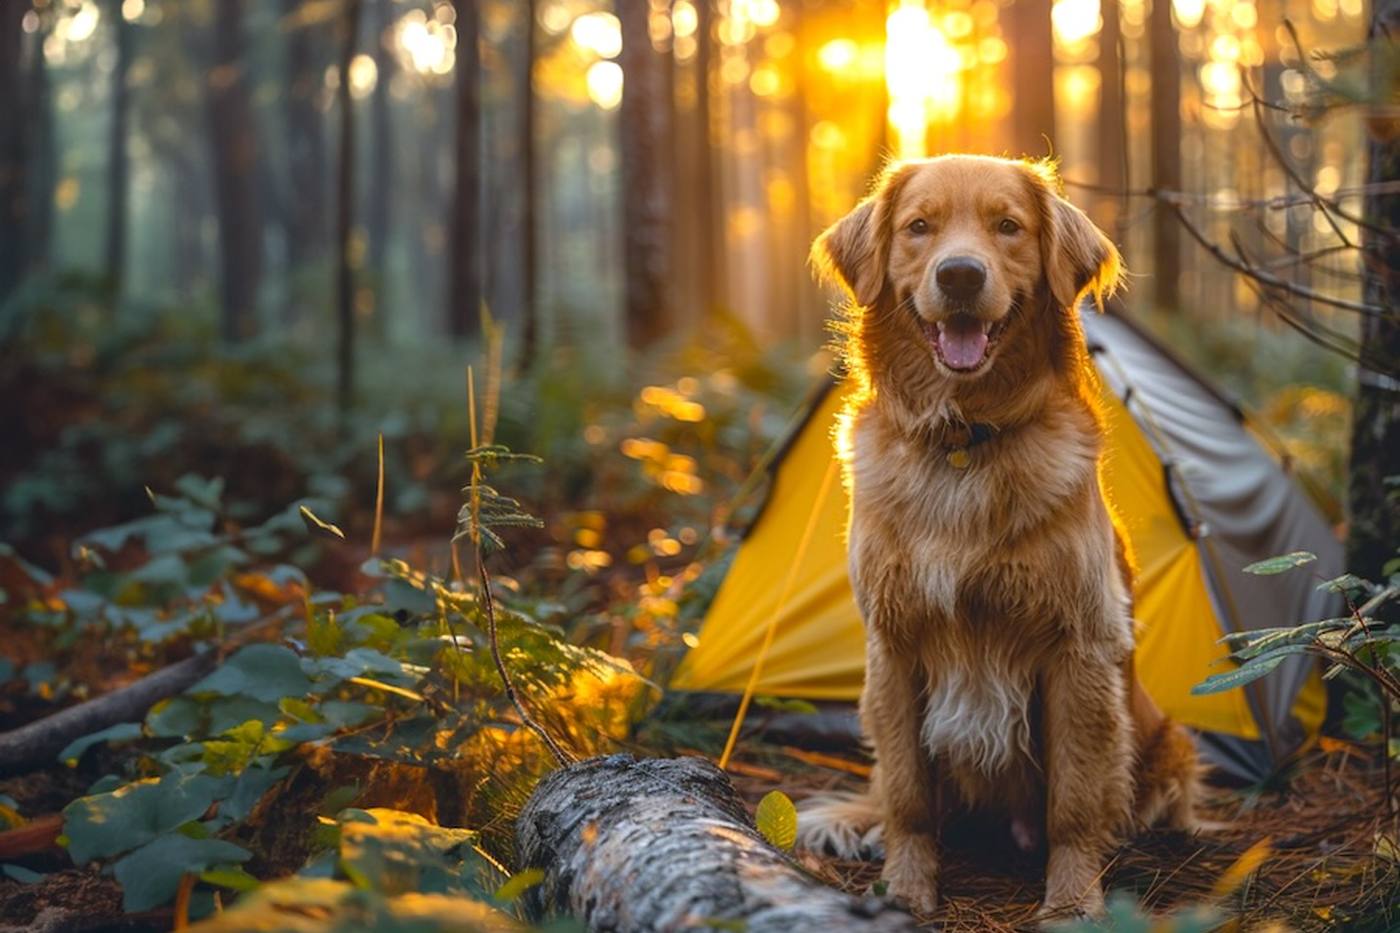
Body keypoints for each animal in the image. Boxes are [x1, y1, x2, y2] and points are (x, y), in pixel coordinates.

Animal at [795, 156, 1198, 918]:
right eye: (919, 226)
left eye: (1007, 226)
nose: (959, 275)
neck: (964, 438)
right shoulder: (892, 646)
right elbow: (907, 796)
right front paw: (905, 889)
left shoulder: (1078, 648)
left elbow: (1074, 803)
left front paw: (1072, 903)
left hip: (1168, 739)